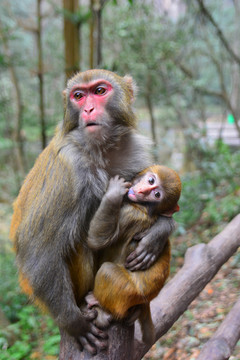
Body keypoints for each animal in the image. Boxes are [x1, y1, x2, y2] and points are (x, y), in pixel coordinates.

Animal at [85, 165, 181, 344]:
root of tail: (147, 299)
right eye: (150, 180)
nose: (142, 190)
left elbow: (96, 241)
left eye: (156, 195)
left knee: (108, 270)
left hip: (125, 292)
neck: (143, 207)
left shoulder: (127, 214)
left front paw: (113, 194)